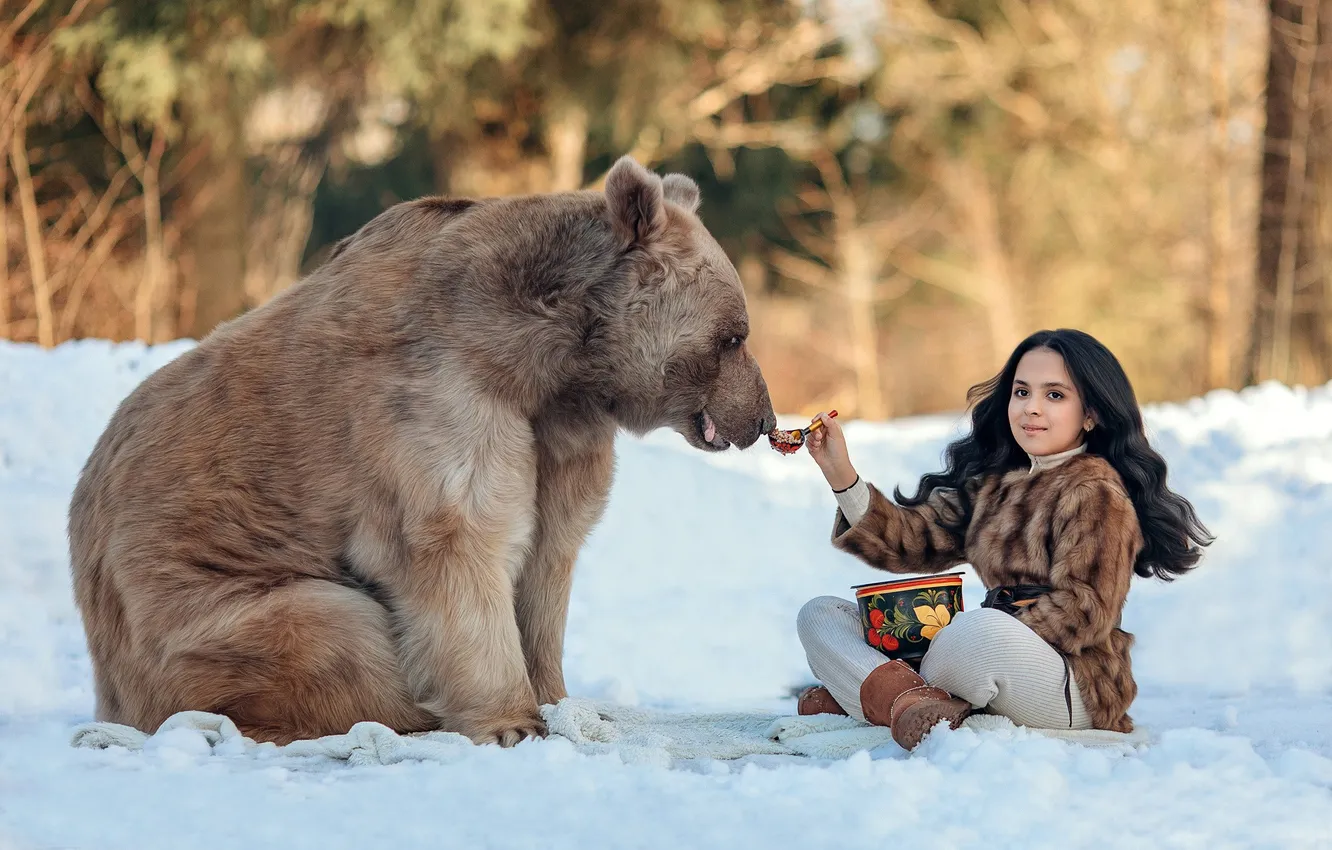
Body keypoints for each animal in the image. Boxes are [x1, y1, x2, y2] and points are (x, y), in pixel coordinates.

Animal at [70, 156, 777, 751]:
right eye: (734, 335)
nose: (762, 418)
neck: (546, 360)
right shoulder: (435, 396)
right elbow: (461, 536)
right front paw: (511, 720)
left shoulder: (558, 433)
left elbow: (550, 554)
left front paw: (558, 696)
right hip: (198, 608)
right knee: (334, 630)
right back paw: (395, 713)